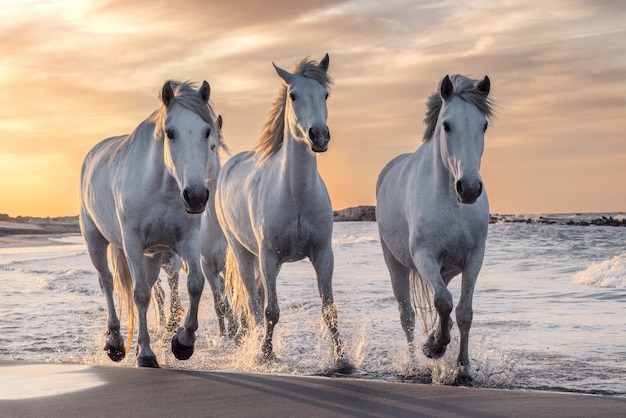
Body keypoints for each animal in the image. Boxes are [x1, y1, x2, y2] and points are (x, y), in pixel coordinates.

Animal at [78, 80, 224, 368]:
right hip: (95, 240)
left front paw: (183, 343)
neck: (162, 189)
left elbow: (195, 285)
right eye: (170, 133)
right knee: (107, 282)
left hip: (153, 255)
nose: (196, 195)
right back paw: (115, 342)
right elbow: (141, 294)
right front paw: (145, 354)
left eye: (207, 132)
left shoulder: (187, 240)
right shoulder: (133, 244)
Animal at [217, 54, 346, 366]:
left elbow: (329, 310)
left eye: (325, 94)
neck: (295, 194)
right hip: (243, 253)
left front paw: (342, 359)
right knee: (253, 302)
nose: (319, 136)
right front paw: (265, 354)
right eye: (293, 95)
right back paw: (254, 345)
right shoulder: (269, 258)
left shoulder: (323, 254)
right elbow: (270, 311)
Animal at [376, 73, 492, 384]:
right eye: (447, 125)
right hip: (396, 264)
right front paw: (435, 348)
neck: (451, 202)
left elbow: (463, 312)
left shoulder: (474, 260)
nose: (470, 188)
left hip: (446, 270)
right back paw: (415, 362)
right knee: (407, 315)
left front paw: (463, 368)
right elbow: (442, 302)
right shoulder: (424, 257)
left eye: (484, 125)